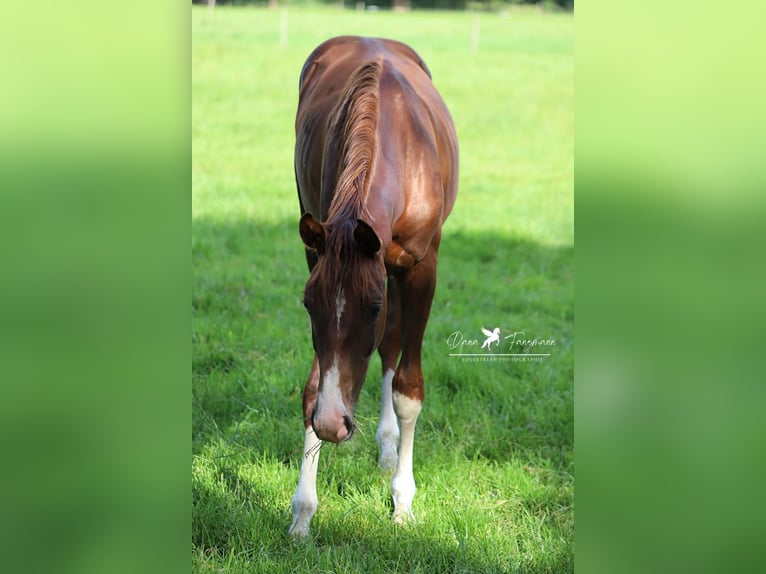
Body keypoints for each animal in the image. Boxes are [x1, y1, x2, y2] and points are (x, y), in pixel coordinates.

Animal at [288, 37, 456, 540]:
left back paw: (387, 450)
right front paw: (303, 512)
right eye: (308, 305)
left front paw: (402, 500)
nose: (333, 424)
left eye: (374, 306)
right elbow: (314, 385)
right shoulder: (318, 251)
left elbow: (407, 387)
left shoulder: (420, 271)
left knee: (393, 348)